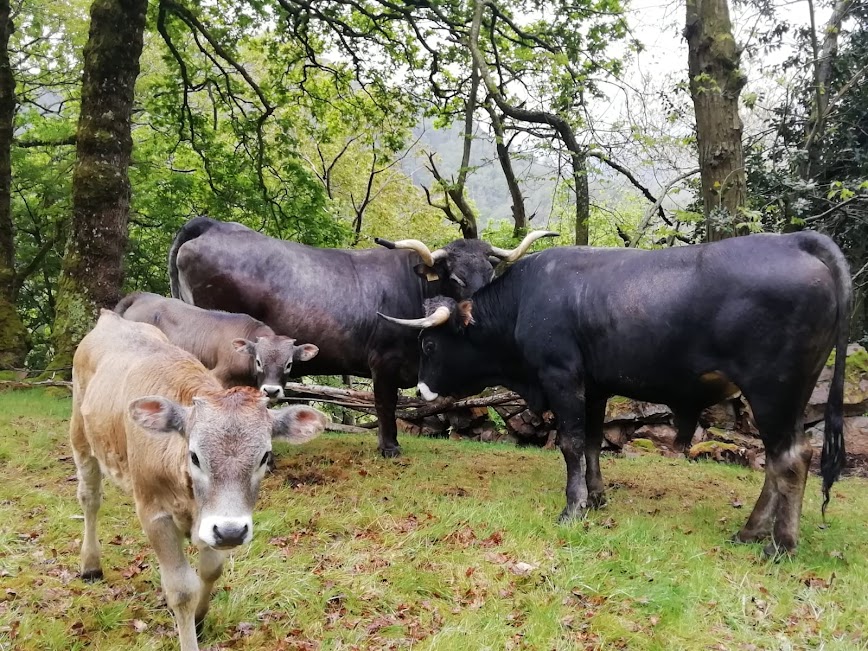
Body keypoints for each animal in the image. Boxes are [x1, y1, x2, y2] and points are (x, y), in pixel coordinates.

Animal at [70, 312, 328, 651]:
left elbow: (211, 570)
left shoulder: (211, 521)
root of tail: (110, 318)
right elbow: (181, 589)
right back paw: (90, 564)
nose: (232, 531)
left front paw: (200, 619)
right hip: (81, 437)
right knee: (90, 498)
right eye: (194, 456)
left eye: (264, 457)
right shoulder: (155, 513)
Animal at [166, 216, 552, 456]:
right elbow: (385, 404)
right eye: (456, 278)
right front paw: (389, 448)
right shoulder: (384, 361)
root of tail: (212, 225)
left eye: (491, 273)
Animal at [384, 230, 852, 556]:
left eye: (429, 345)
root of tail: (797, 240)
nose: (421, 389)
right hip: (789, 397)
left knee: (790, 459)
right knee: (782, 458)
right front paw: (596, 497)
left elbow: (571, 443)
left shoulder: (562, 377)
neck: (525, 301)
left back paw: (779, 543)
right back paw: (751, 531)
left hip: (773, 392)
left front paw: (573, 508)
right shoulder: (595, 388)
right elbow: (593, 441)